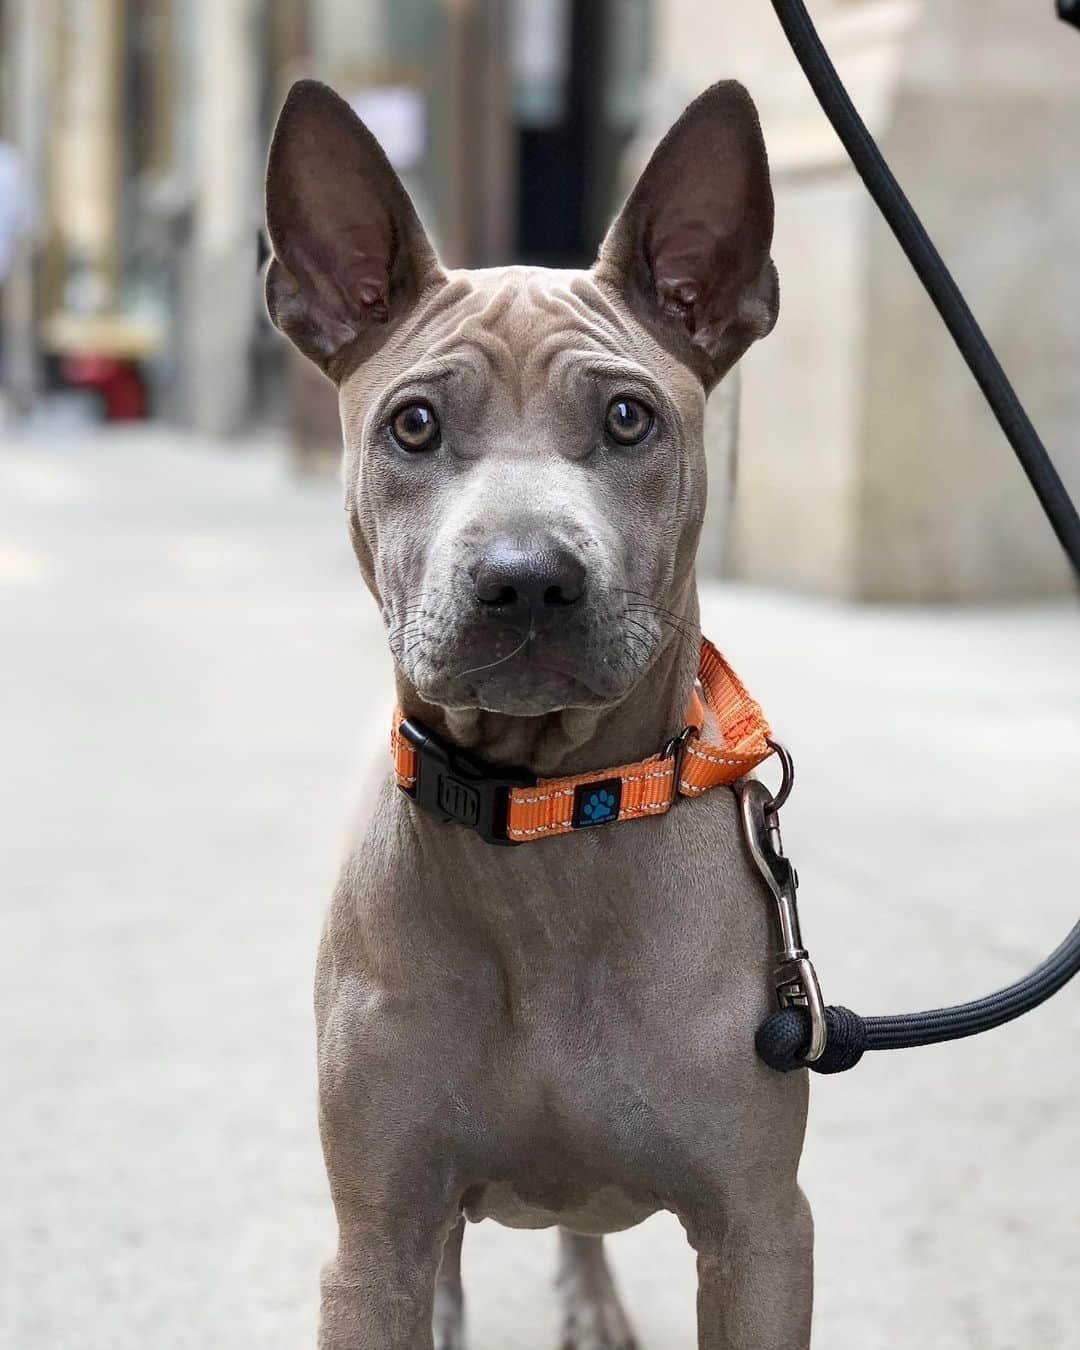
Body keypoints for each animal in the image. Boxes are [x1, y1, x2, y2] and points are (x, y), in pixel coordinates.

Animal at [265, 76, 810, 1350]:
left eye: (628, 420)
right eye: (414, 424)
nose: (524, 580)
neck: (549, 823)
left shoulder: (762, 1234)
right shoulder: (371, 1243)